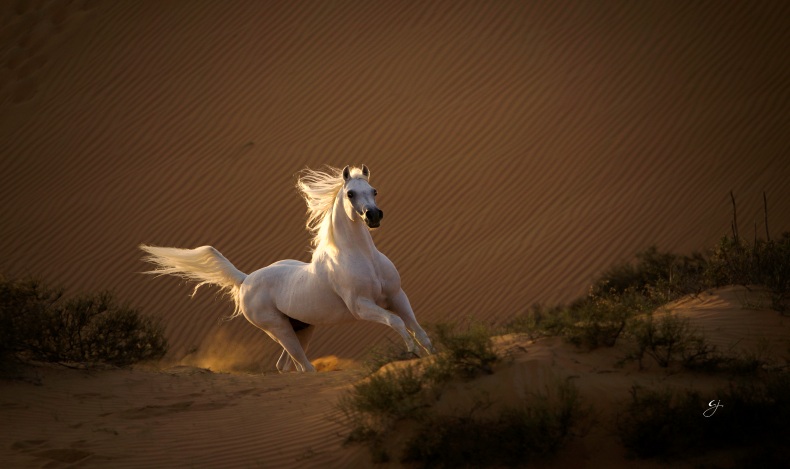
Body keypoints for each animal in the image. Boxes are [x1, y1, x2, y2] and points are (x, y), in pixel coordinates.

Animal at [140, 163, 436, 372]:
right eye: (351, 193)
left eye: (374, 191)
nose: (373, 216)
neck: (361, 257)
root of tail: (245, 280)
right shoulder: (361, 306)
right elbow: (396, 322)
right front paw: (411, 351)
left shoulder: (397, 296)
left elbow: (418, 329)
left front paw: (433, 357)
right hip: (279, 330)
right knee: (303, 366)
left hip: (302, 327)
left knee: (285, 366)